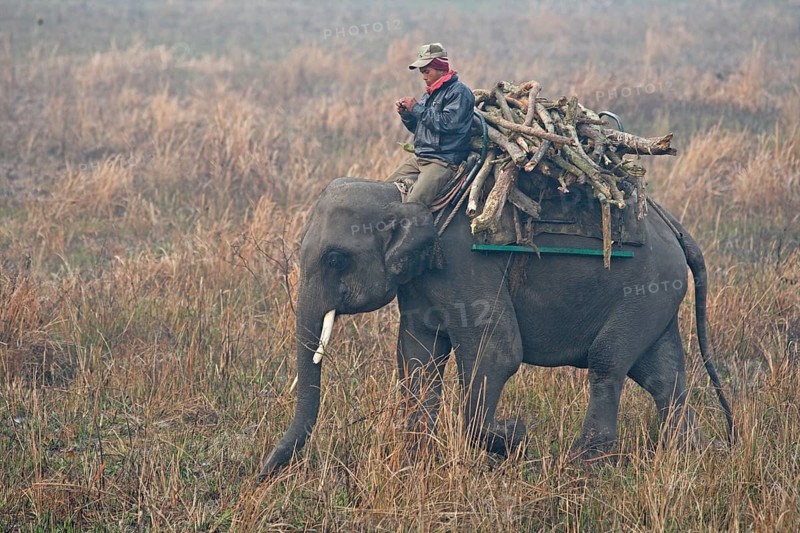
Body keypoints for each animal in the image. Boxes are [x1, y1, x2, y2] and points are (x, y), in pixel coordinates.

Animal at [258, 177, 734, 481]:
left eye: (336, 258)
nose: (259, 474)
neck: (408, 195)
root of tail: (676, 228)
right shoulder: (419, 283)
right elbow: (416, 356)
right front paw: (416, 460)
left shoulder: (465, 266)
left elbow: (496, 353)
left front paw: (514, 439)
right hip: (657, 298)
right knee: (662, 375)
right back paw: (693, 457)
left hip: (643, 290)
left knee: (608, 364)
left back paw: (585, 465)